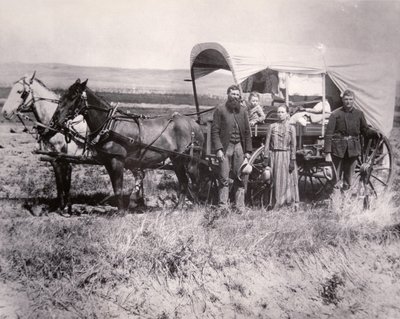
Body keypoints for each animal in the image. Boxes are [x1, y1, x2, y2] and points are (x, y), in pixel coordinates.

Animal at [51, 79, 205, 214]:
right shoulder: (108, 162)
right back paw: (178, 208)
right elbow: (115, 188)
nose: (55, 120)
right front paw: (122, 209)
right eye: (62, 96)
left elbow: (118, 188)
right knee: (184, 181)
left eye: (73, 97)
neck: (110, 126)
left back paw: (197, 206)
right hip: (176, 159)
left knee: (196, 182)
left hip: (191, 160)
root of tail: (194, 124)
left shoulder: (117, 161)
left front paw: (121, 212)